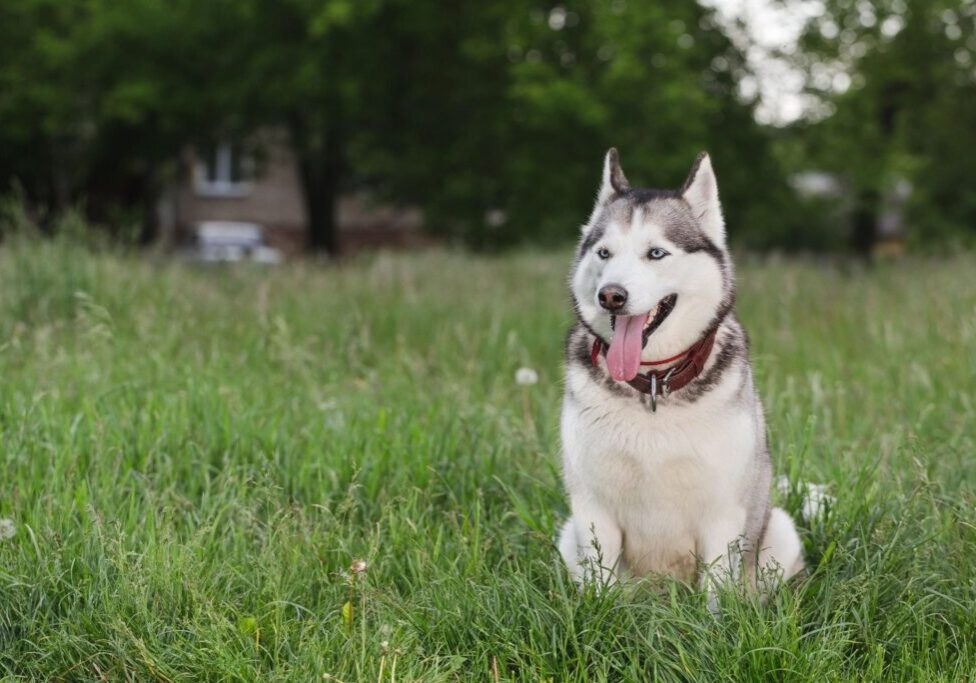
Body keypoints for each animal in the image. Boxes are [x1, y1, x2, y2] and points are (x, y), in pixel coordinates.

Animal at [556, 151, 800, 608]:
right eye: (604, 252)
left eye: (656, 253)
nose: (610, 295)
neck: (653, 383)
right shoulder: (592, 507)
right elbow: (600, 582)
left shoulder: (722, 511)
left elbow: (715, 591)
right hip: (567, 535)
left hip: (780, 531)